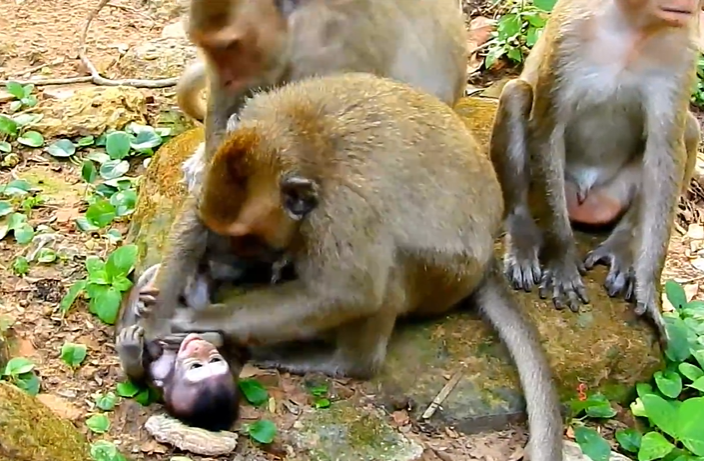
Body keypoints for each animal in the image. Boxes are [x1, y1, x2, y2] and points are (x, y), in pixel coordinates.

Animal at [163, 73, 564, 461]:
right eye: (220, 229)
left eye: (246, 237)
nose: (222, 256)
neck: (303, 140)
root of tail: (486, 260)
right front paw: (154, 308)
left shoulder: (342, 208)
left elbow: (350, 291)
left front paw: (197, 319)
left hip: (448, 274)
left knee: (387, 270)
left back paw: (344, 360)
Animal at [489, 0, 702, 340]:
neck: (633, 29)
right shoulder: (568, 35)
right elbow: (547, 132)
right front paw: (562, 262)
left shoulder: (681, 49)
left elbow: (664, 151)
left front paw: (647, 290)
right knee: (516, 93)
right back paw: (522, 234)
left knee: (690, 130)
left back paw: (623, 244)